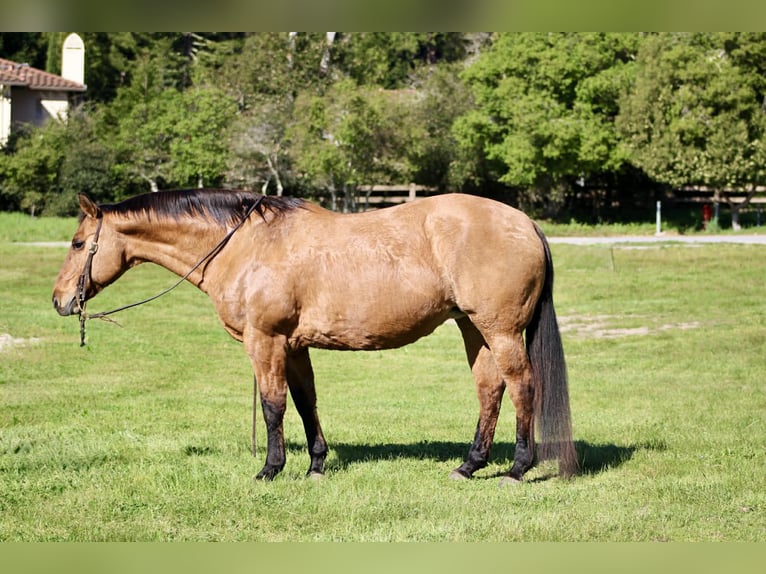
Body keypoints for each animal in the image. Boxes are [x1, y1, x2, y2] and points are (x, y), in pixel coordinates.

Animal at [52, 189, 578, 484]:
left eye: (78, 243)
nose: (59, 300)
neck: (248, 244)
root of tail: (526, 224)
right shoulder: (294, 346)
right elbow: (306, 404)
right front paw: (316, 467)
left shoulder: (265, 342)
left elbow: (273, 407)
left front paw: (270, 469)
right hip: (474, 328)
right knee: (490, 391)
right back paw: (469, 466)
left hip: (500, 331)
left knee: (523, 388)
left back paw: (517, 469)